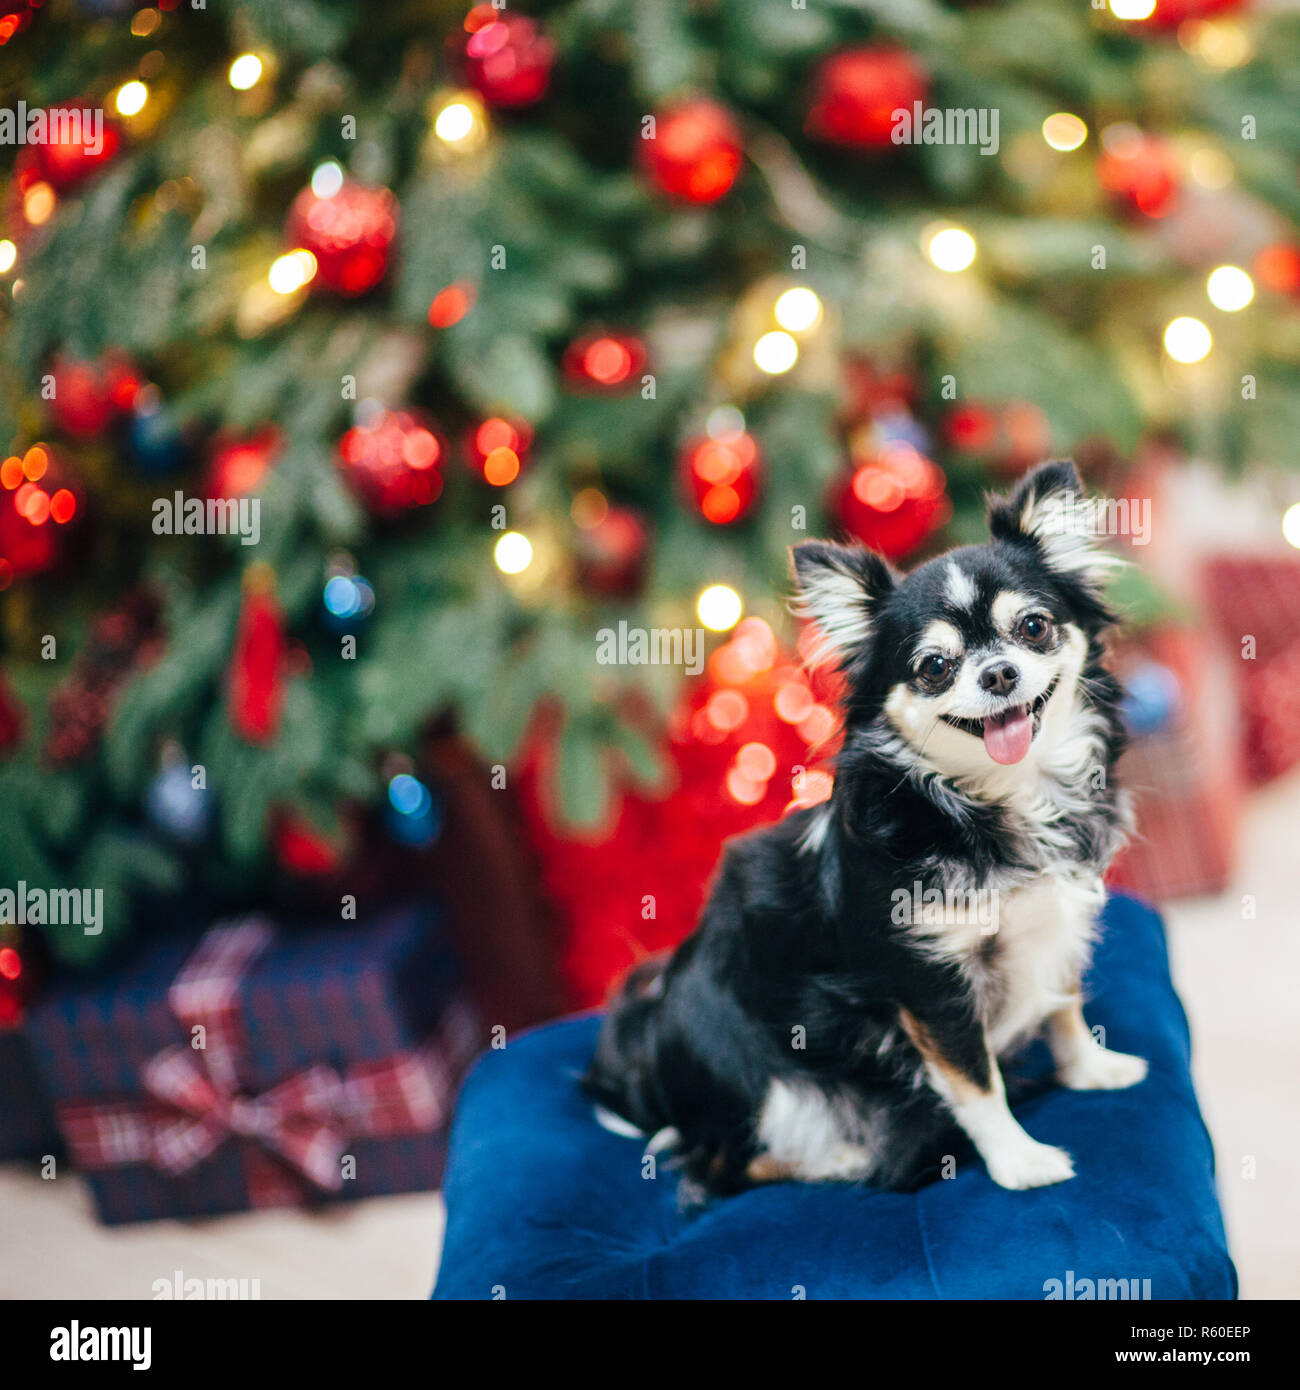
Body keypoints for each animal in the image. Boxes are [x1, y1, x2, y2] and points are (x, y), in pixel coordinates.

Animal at [589, 458, 1151, 1195]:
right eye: (934, 667)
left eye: (1033, 628)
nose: (1000, 673)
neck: (1001, 797)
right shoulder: (930, 983)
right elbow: (977, 1083)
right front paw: (1019, 1161)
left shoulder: (1054, 927)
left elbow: (1064, 1005)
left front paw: (1090, 1071)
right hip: (756, 1077)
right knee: (719, 1167)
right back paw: (845, 1158)